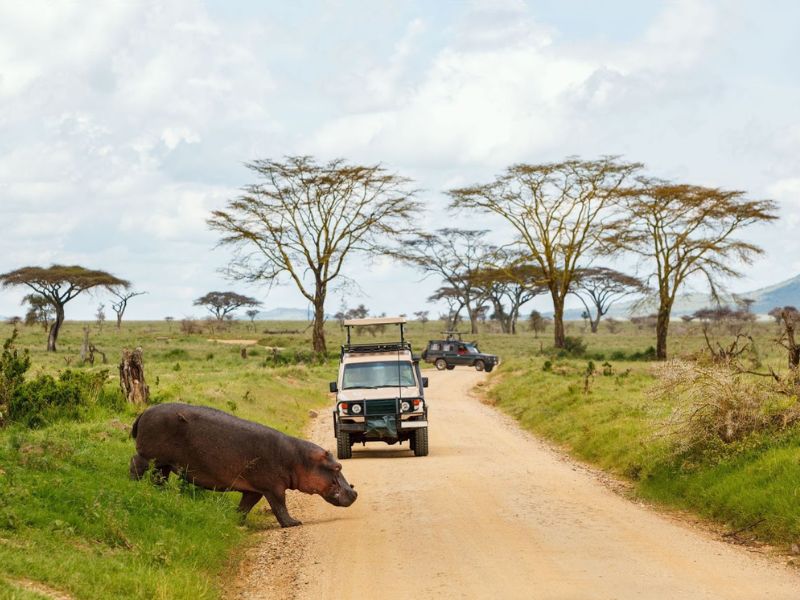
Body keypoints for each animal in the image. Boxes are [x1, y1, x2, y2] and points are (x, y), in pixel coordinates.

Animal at [130, 404, 356, 524]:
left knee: (159, 478)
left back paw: (160, 493)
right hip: (149, 457)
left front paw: (235, 522)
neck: (299, 459)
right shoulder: (273, 488)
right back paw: (133, 484)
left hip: (163, 464)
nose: (354, 492)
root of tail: (143, 412)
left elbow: (246, 505)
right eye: (337, 467)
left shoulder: (254, 489)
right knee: (135, 464)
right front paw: (294, 523)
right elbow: (280, 506)